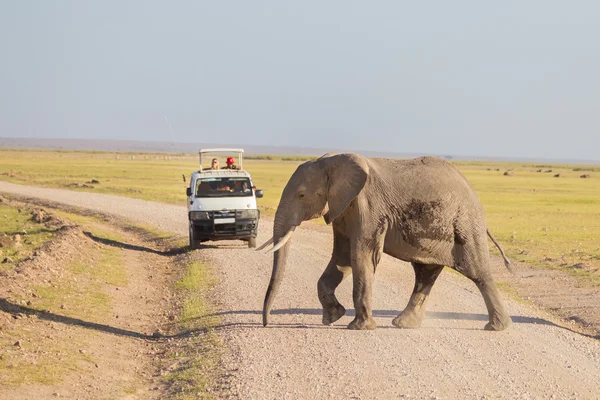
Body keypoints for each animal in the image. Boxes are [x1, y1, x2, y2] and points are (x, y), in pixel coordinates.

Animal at [260, 153, 512, 332]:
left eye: (302, 195)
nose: (265, 323)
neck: (330, 161)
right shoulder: (343, 209)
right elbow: (342, 258)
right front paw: (333, 317)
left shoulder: (368, 206)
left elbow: (360, 256)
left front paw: (359, 328)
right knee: (425, 273)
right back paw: (404, 324)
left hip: (465, 223)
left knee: (478, 273)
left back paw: (496, 327)